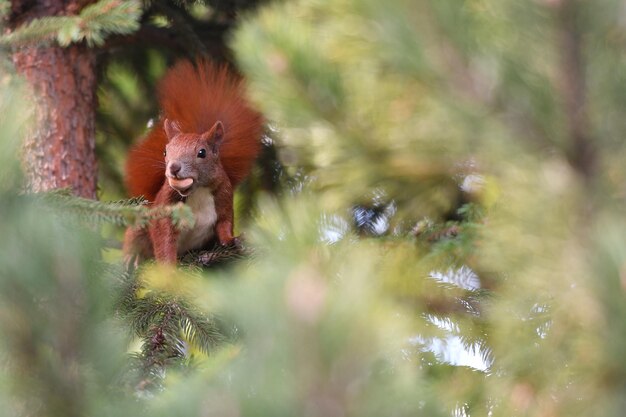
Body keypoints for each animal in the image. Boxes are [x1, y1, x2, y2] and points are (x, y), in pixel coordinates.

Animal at [123, 59, 262, 264]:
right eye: (165, 151)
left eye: (202, 153)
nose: (173, 168)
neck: (198, 192)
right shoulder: (165, 207)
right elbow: (163, 237)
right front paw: (167, 267)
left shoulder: (224, 196)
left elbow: (225, 224)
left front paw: (232, 240)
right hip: (143, 218)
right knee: (135, 234)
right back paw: (131, 257)